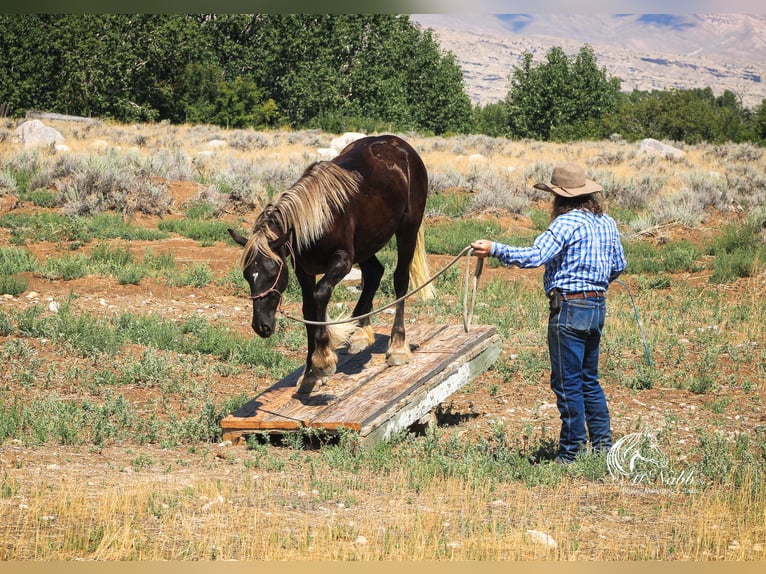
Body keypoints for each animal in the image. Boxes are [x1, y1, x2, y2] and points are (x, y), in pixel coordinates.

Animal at [226, 135, 432, 396]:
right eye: (247, 275)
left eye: (273, 273)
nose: (261, 325)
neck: (318, 217)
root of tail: (404, 147)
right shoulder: (304, 269)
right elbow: (308, 310)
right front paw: (310, 373)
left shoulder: (342, 260)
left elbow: (321, 294)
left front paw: (323, 360)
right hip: (366, 243)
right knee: (375, 273)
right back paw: (359, 331)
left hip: (407, 229)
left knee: (399, 280)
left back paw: (397, 346)